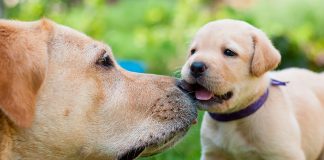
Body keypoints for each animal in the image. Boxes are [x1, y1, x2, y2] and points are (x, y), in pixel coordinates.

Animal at [181, 19, 322, 159]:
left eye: (229, 52)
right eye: (193, 51)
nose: (196, 67)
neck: (232, 118)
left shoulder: (284, 154)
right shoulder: (213, 152)